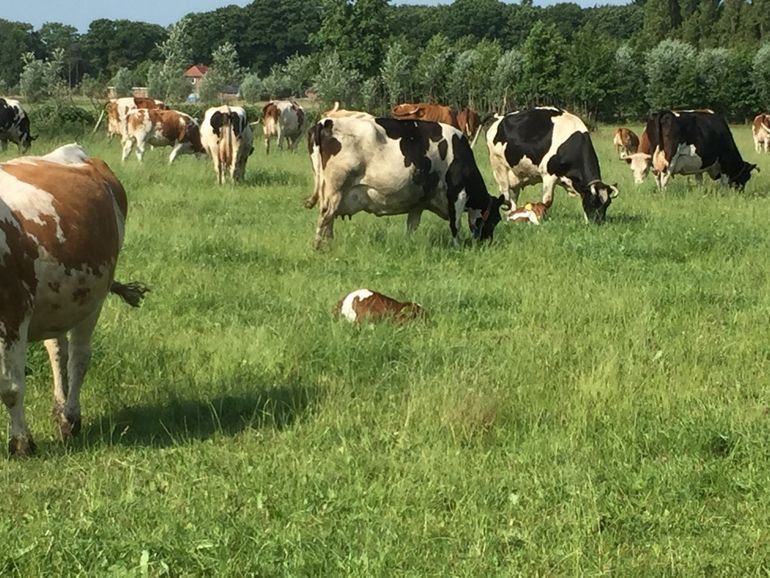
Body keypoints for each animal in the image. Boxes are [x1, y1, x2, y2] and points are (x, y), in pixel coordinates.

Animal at [0, 143, 146, 454]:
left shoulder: (13, 311)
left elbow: (10, 388)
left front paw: (21, 444)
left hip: (91, 299)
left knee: (78, 358)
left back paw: (71, 418)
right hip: (57, 301)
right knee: (58, 351)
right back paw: (60, 410)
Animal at [304, 116, 508, 248]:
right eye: (496, 219)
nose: (487, 242)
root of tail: (325, 121)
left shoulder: (418, 203)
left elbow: (411, 226)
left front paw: (409, 244)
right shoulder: (458, 193)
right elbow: (455, 224)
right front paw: (457, 247)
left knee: (329, 220)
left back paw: (329, 245)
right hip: (336, 188)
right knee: (325, 216)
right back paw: (319, 248)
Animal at [486, 106, 616, 223]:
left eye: (608, 203)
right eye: (593, 202)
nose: (598, 222)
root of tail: (499, 118)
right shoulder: (548, 175)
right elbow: (547, 201)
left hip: (516, 173)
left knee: (513, 196)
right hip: (498, 166)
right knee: (506, 192)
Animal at [620, 108, 752, 189]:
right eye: (747, 177)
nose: (741, 191)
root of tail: (663, 113)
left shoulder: (699, 165)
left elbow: (699, 179)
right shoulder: (724, 160)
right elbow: (724, 182)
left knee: (658, 178)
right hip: (670, 158)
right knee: (664, 178)